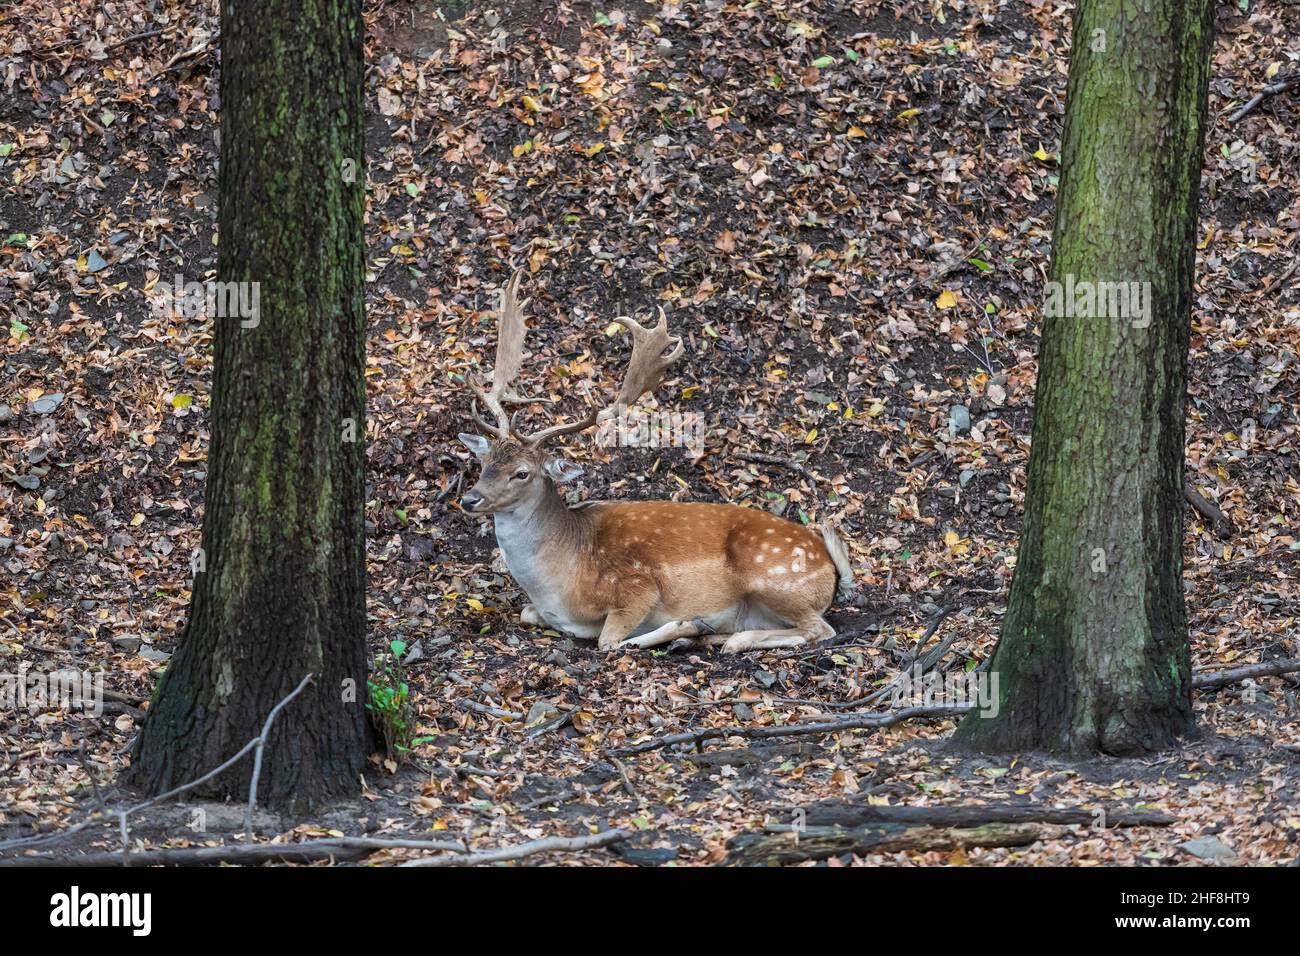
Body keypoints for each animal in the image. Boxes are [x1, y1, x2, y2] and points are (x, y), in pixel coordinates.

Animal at [457, 273, 852, 655]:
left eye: (522, 473)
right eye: (484, 461)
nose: (469, 499)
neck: (561, 582)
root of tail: (830, 564)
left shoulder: (637, 585)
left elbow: (608, 641)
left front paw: (687, 625)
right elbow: (527, 613)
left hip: (774, 579)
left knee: (821, 629)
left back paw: (721, 638)